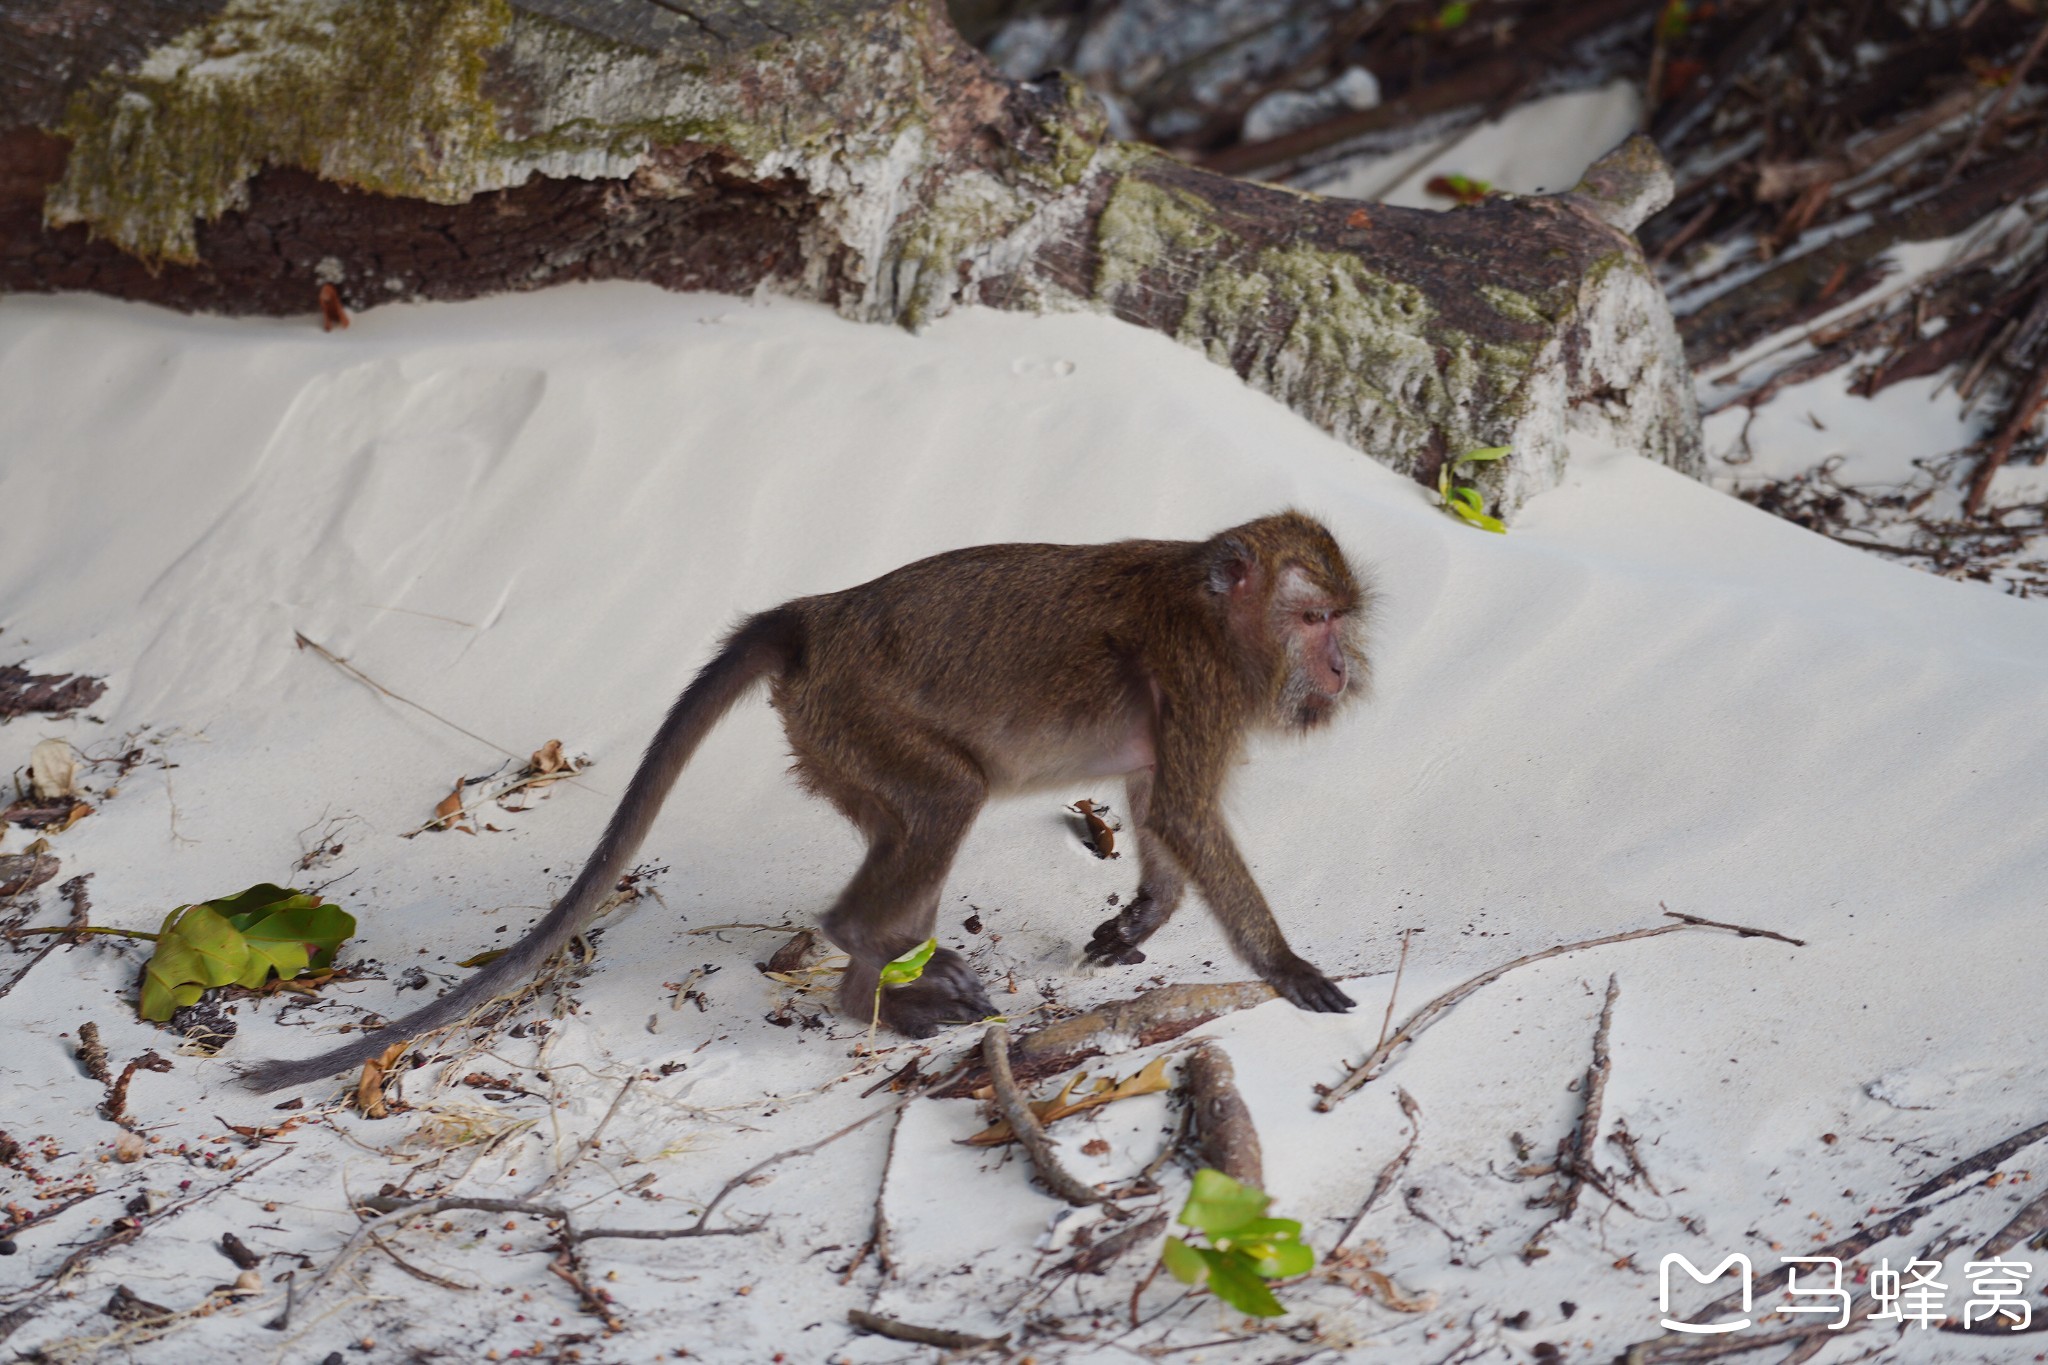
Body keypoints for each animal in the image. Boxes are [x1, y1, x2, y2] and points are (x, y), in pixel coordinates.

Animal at [235, 511, 1359, 1096]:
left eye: (1342, 619)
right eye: (1311, 621)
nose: (1347, 666)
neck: (1212, 612)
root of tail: (811, 619)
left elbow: (1158, 809)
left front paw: (1139, 920)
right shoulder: (1204, 682)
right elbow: (1183, 816)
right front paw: (1286, 966)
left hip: (829, 739)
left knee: (912, 819)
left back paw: (878, 979)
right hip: (859, 715)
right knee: (947, 799)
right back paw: (865, 968)